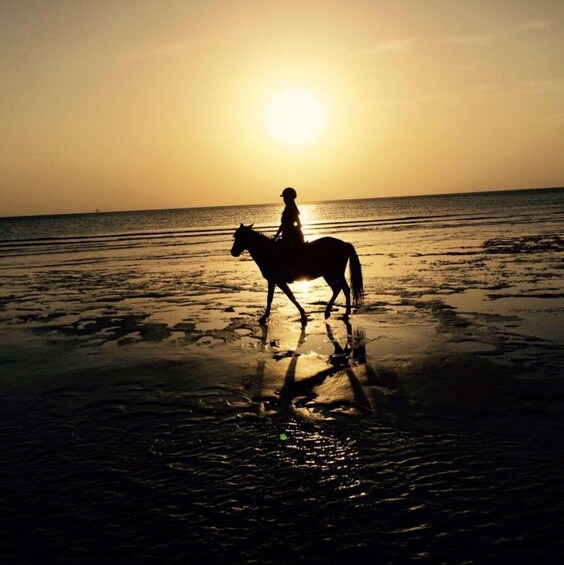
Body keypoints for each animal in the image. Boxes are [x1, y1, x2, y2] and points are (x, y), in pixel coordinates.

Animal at [230, 223, 366, 324]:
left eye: (239, 237)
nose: (233, 252)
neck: (269, 252)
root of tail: (344, 244)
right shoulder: (274, 281)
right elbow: (276, 298)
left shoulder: (277, 280)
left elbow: (286, 297)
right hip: (329, 274)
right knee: (338, 289)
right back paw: (331, 312)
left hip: (334, 273)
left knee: (344, 289)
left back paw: (343, 313)